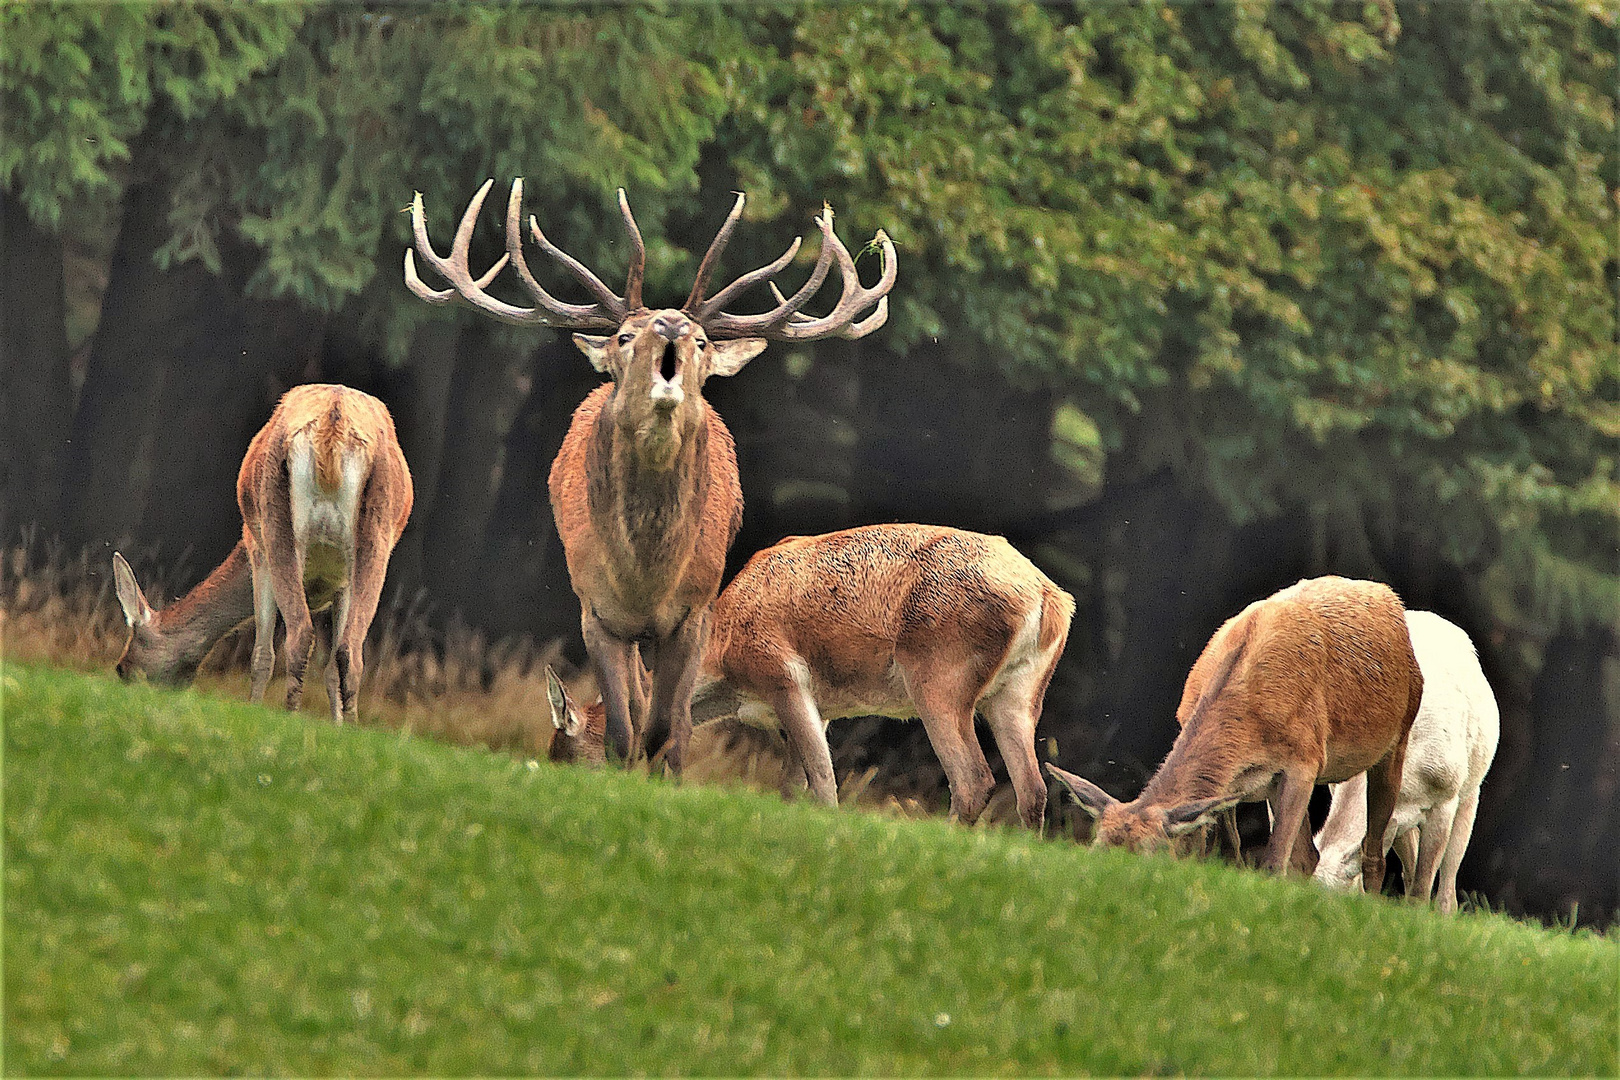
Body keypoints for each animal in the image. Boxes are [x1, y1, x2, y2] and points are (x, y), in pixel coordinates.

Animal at [110, 383, 414, 722]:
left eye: (123, 669)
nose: (124, 676)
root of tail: (332, 424)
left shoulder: (257, 553)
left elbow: (261, 654)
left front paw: (254, 708)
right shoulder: (341, 582)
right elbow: (333, 669)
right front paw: (337, 726)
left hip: (276, 520)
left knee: (298, 636)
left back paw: (289, 717)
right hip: (374, 537)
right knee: (350, 651)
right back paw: (346, 725)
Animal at [400, 177, 894, 773]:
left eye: (703, 341)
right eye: (624, 337)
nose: (672, 324)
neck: (645, 580)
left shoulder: (697, 609)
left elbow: (669, 729)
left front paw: (662, 774)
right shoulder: (594, 608)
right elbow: (622, 726)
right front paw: (617, 768)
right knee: (636, 703)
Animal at [547, 521, 1075, 829]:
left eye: (566, 753)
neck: (725, 664)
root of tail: (1049, 599)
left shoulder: (783, 674)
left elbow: (823, 784)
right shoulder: (819, 709)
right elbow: (792, 788)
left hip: (939, 674)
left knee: (973, 779)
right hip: (1019, 694)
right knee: (1032, 790)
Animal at [1036, 579, 1419, 893]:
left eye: (1150, 856)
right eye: (1096, 850)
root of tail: (1388, 596)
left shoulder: (1305, 760)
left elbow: (1273, 861)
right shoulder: (1231, 785)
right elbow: (1223, 852)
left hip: (1399, 737)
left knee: (1373, 855)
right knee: (1309, 857)